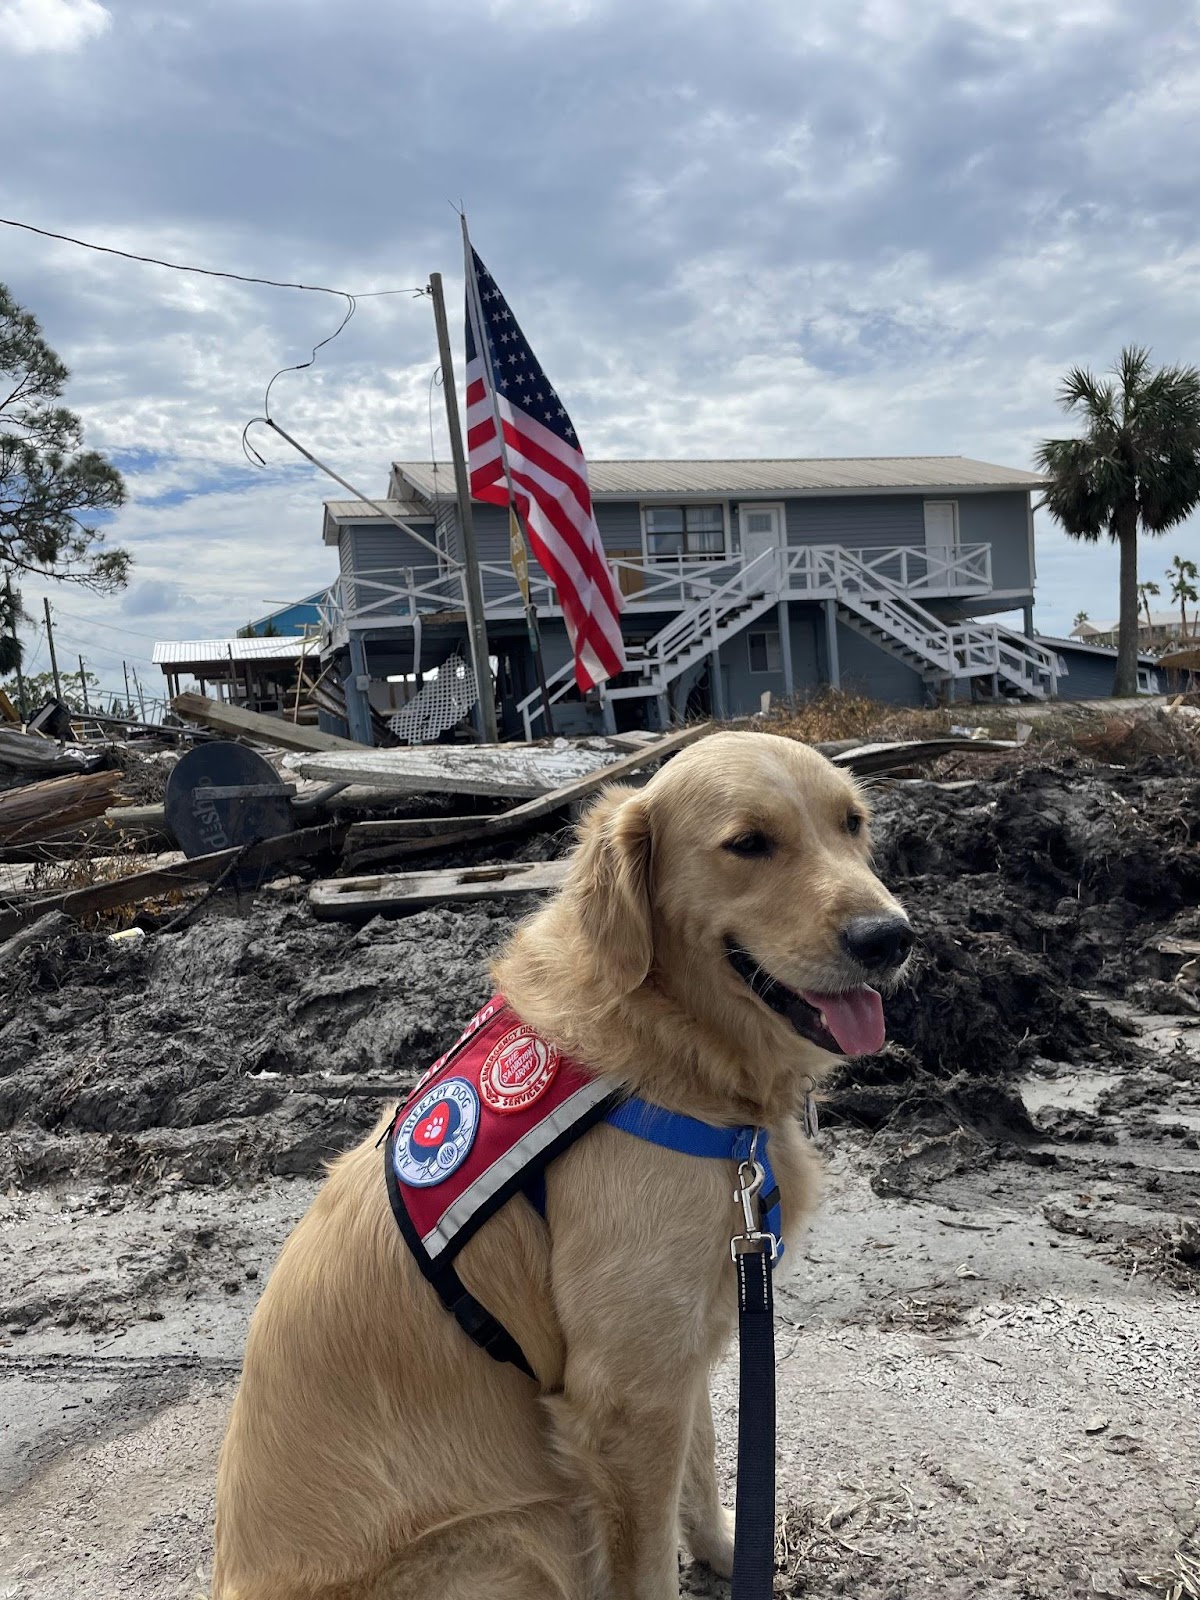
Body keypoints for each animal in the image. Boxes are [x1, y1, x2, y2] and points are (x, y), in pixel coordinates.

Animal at [214, 732, 908, 1593]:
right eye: (749, 844)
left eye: (852, 824)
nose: (890, 937)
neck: (670, 1039)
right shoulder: (624, 1396)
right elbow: (649, 1563)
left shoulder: (682, 1337)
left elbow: (703, 1463)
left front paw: (727, 1551)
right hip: (523, 1532)